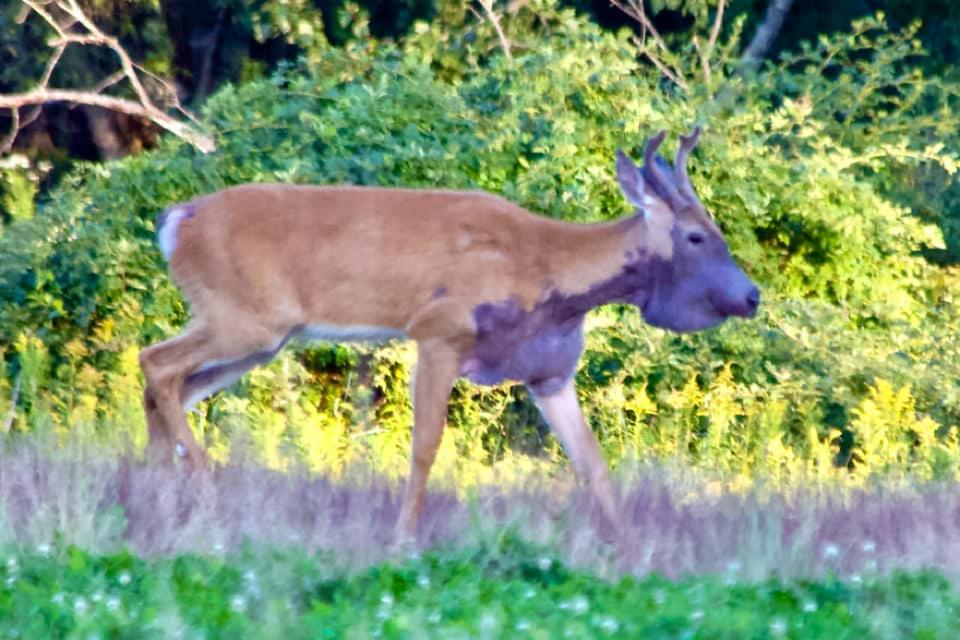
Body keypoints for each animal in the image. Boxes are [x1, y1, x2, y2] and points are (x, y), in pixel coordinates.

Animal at [141, 127, 756, 536]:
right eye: (697, 236)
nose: (751, 295)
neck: (547, 271)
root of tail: (175, 222)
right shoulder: (439, 332)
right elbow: (425, 446)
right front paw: (404, 537)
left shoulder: (550, 372)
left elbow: (592, 463)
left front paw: (626, 544)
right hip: (243, 317)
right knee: (155, 362)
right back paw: (203, 486)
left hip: (259, 337)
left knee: (171, 386)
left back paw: (157, 496)